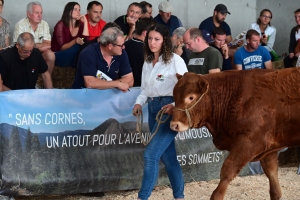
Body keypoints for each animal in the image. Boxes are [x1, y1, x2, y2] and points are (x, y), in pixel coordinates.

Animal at [171, 68, 300, 199]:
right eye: (175, 97)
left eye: (191, 97)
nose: (174, 124)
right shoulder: (269, 149)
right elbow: (273, 178)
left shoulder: (250, 141)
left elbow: (228, 170)